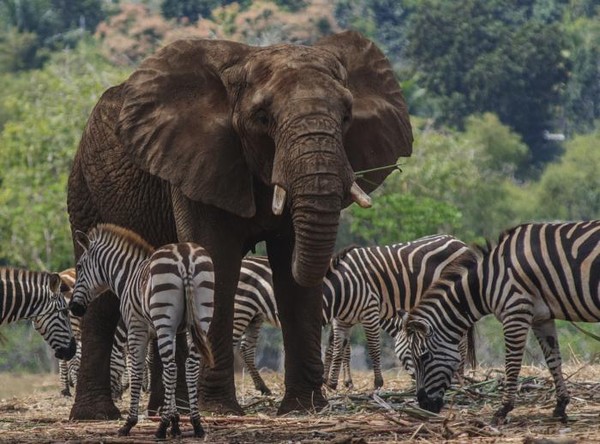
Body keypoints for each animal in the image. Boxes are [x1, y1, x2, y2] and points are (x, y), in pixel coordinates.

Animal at [70, 224, 216, 438]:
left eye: (79, 267)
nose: (74, 308)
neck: (128, 277)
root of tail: (184, 255)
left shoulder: (136, 327)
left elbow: (137, 372)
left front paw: (130, 423)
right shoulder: (173, 331)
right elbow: (164, 374)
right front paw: (176, 423)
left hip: (165, 318)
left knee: (172, 369)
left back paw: (161, 429)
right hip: (201, 316)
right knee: (189, 366)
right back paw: (197, 425)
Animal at [404, 220, 600, 424]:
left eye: (424, 357)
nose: (423, 405)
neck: (487, 281)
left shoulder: (515, 312)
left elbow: (511, 365)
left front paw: (503, 410)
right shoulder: (541, 318)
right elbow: (553, 360)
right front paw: (561, 406)